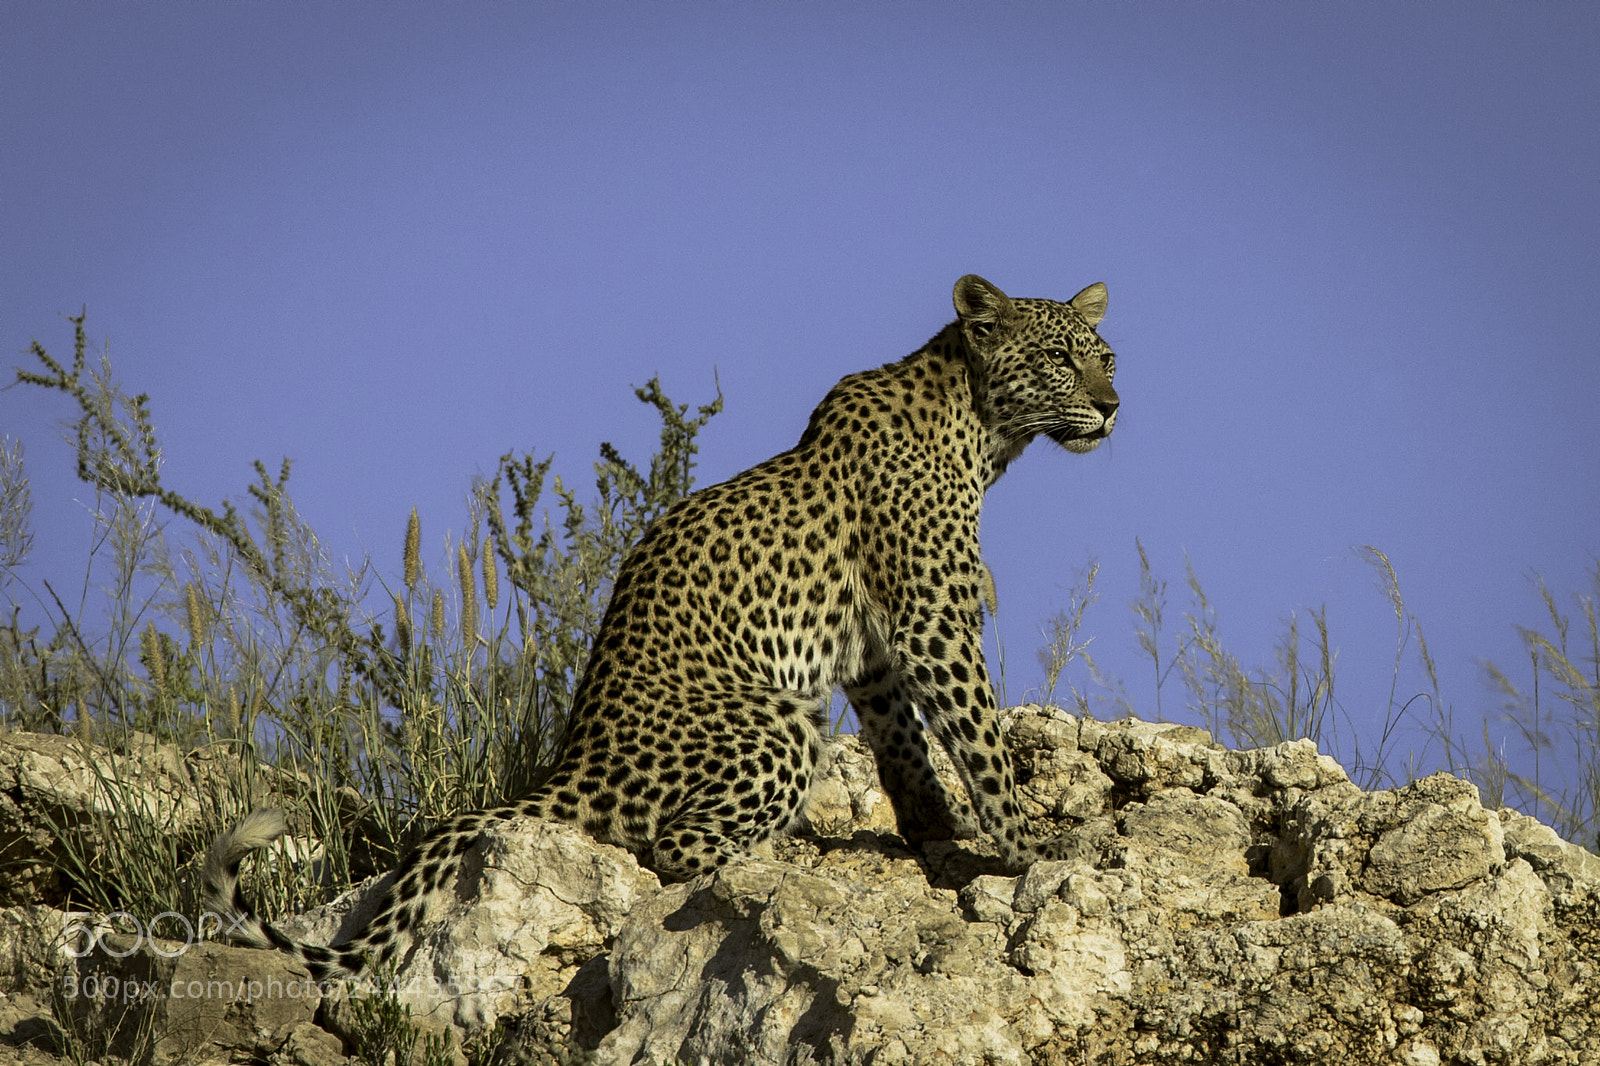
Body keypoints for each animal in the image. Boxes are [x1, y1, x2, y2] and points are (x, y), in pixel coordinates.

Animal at [203, 273, 1119, 980]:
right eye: (1057, 358)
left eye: (1104, 356)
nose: (1113, 406)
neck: (981, 428)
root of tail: (569, 768)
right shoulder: (933, 623)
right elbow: (980, 742)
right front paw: (1030, 850)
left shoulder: (875, 652)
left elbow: (907, 751)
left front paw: (939, 834)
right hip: (779, 722)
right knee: (673, 846)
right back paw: (764, 865)